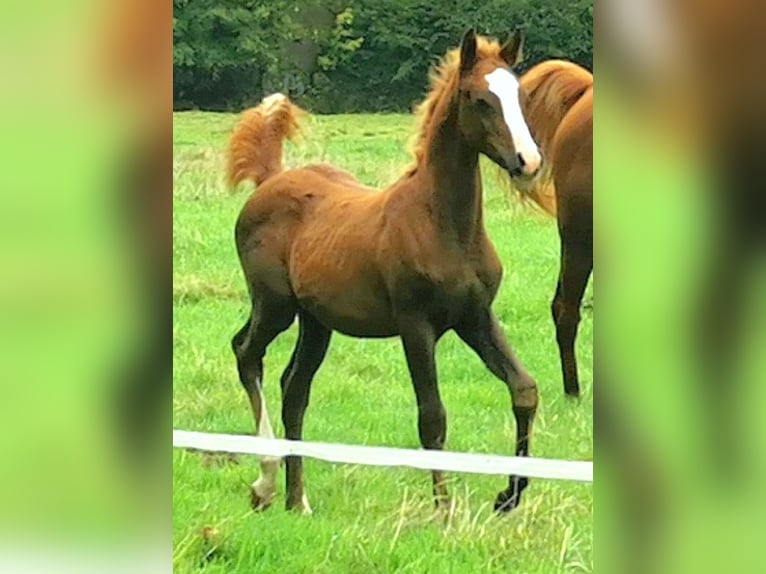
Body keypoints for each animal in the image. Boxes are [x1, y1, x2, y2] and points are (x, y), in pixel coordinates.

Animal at [225, 30, 544, 516]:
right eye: (480, 99)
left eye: (520, 95)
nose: (529, 161)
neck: (445, 226)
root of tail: (269, 180)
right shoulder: (416, 326)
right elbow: (432, 416)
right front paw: (443, 511)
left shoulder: (475, 318)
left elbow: (524, 389)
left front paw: (507, 497)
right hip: (275, 304)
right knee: (246, 353)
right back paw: (265, 481)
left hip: (316, 321)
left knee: (294, 388)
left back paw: (298, 502)